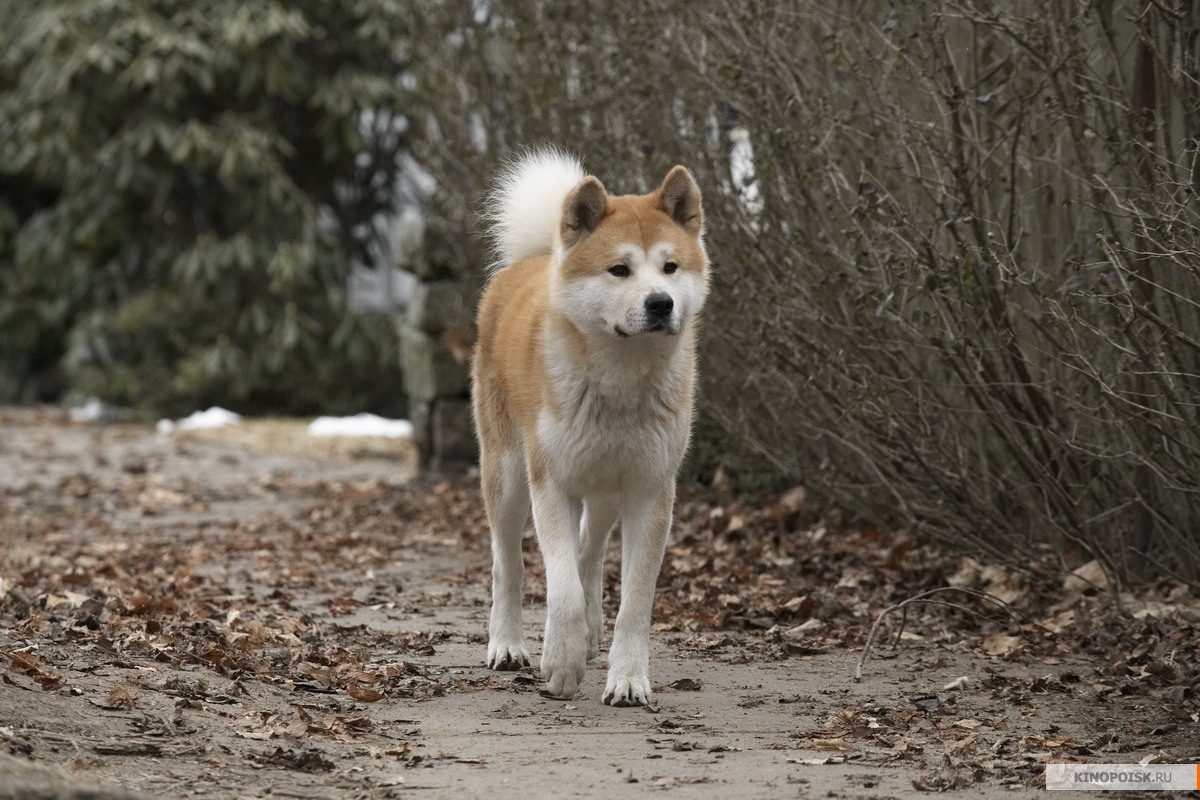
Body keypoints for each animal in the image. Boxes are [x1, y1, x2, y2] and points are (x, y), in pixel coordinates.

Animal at [470, 149, 710, 705]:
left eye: (670, 267)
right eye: (619, 269)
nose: (660, 302)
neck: (620, 381)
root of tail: (534, 260)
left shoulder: (650, 490)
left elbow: (634, 603)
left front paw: (627, 678)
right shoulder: (550, 482)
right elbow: (560, 588)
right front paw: (560, 662)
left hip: (604, 489)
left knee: (590, 551)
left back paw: (592, 632)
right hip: (508, 475)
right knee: (508, 564)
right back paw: (508, 644)